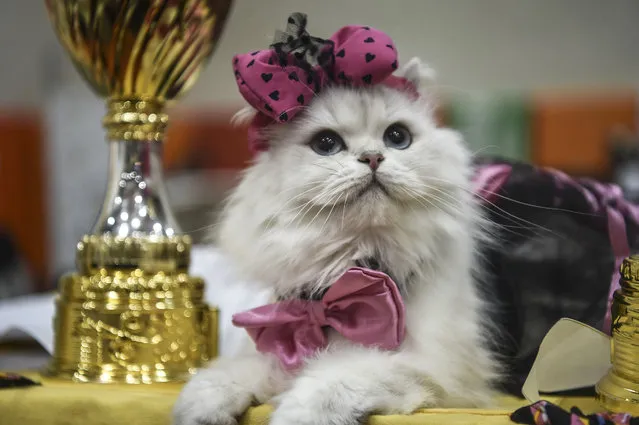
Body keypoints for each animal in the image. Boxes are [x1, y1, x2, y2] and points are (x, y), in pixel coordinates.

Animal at [172, 58, 502, 424]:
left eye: (397, 137)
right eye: (326, 144)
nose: (373, 157)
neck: (351, 266)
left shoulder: (437, 371)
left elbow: (338, 378)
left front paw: (295, 415)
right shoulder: (282, 344)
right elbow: (237, 370)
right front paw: (200, 407)